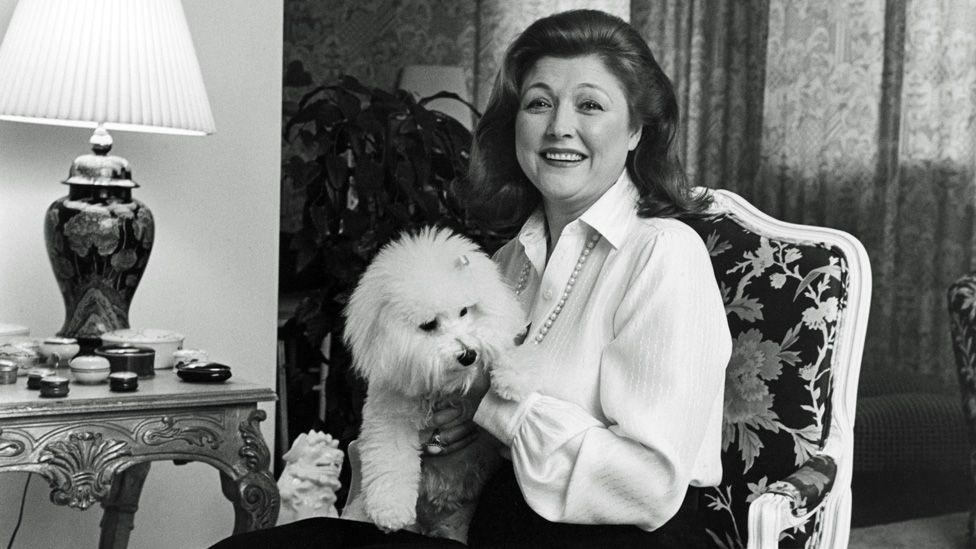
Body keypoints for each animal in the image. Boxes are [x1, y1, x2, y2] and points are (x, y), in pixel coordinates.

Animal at [344, 225, 528, 540]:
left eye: (465, 310)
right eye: (429, 325)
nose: (468, 355)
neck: (445, 386)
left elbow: (502, 348)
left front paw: (511, 379)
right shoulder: (388, 419)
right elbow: (391, 461)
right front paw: (390, 511)